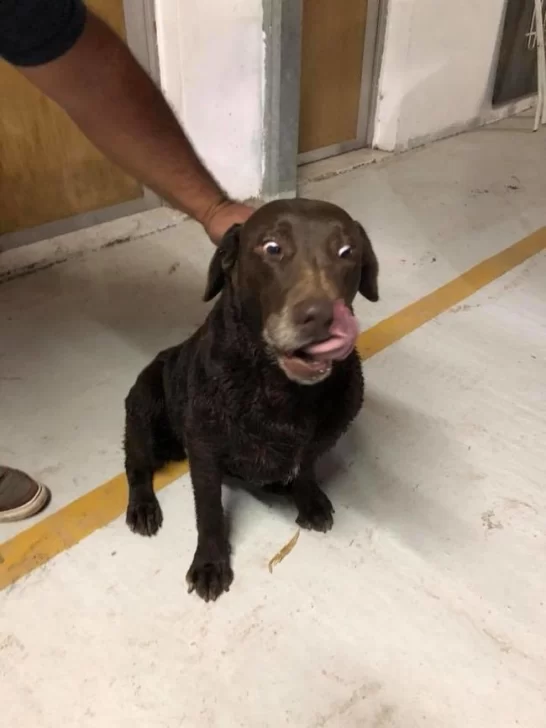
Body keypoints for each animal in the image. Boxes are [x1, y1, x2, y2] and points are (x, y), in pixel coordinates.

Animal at [123, 196, 378, 600]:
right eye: (272, 248)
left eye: (346, 251)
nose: (321, 316)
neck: (278, 386)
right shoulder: (205, 450)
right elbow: (209, 512)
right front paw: (210, 563)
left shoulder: (321, 436)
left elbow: (306, 467)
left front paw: (308, 499)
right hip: (144, 407)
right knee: (135, 464)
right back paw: (143, 506)